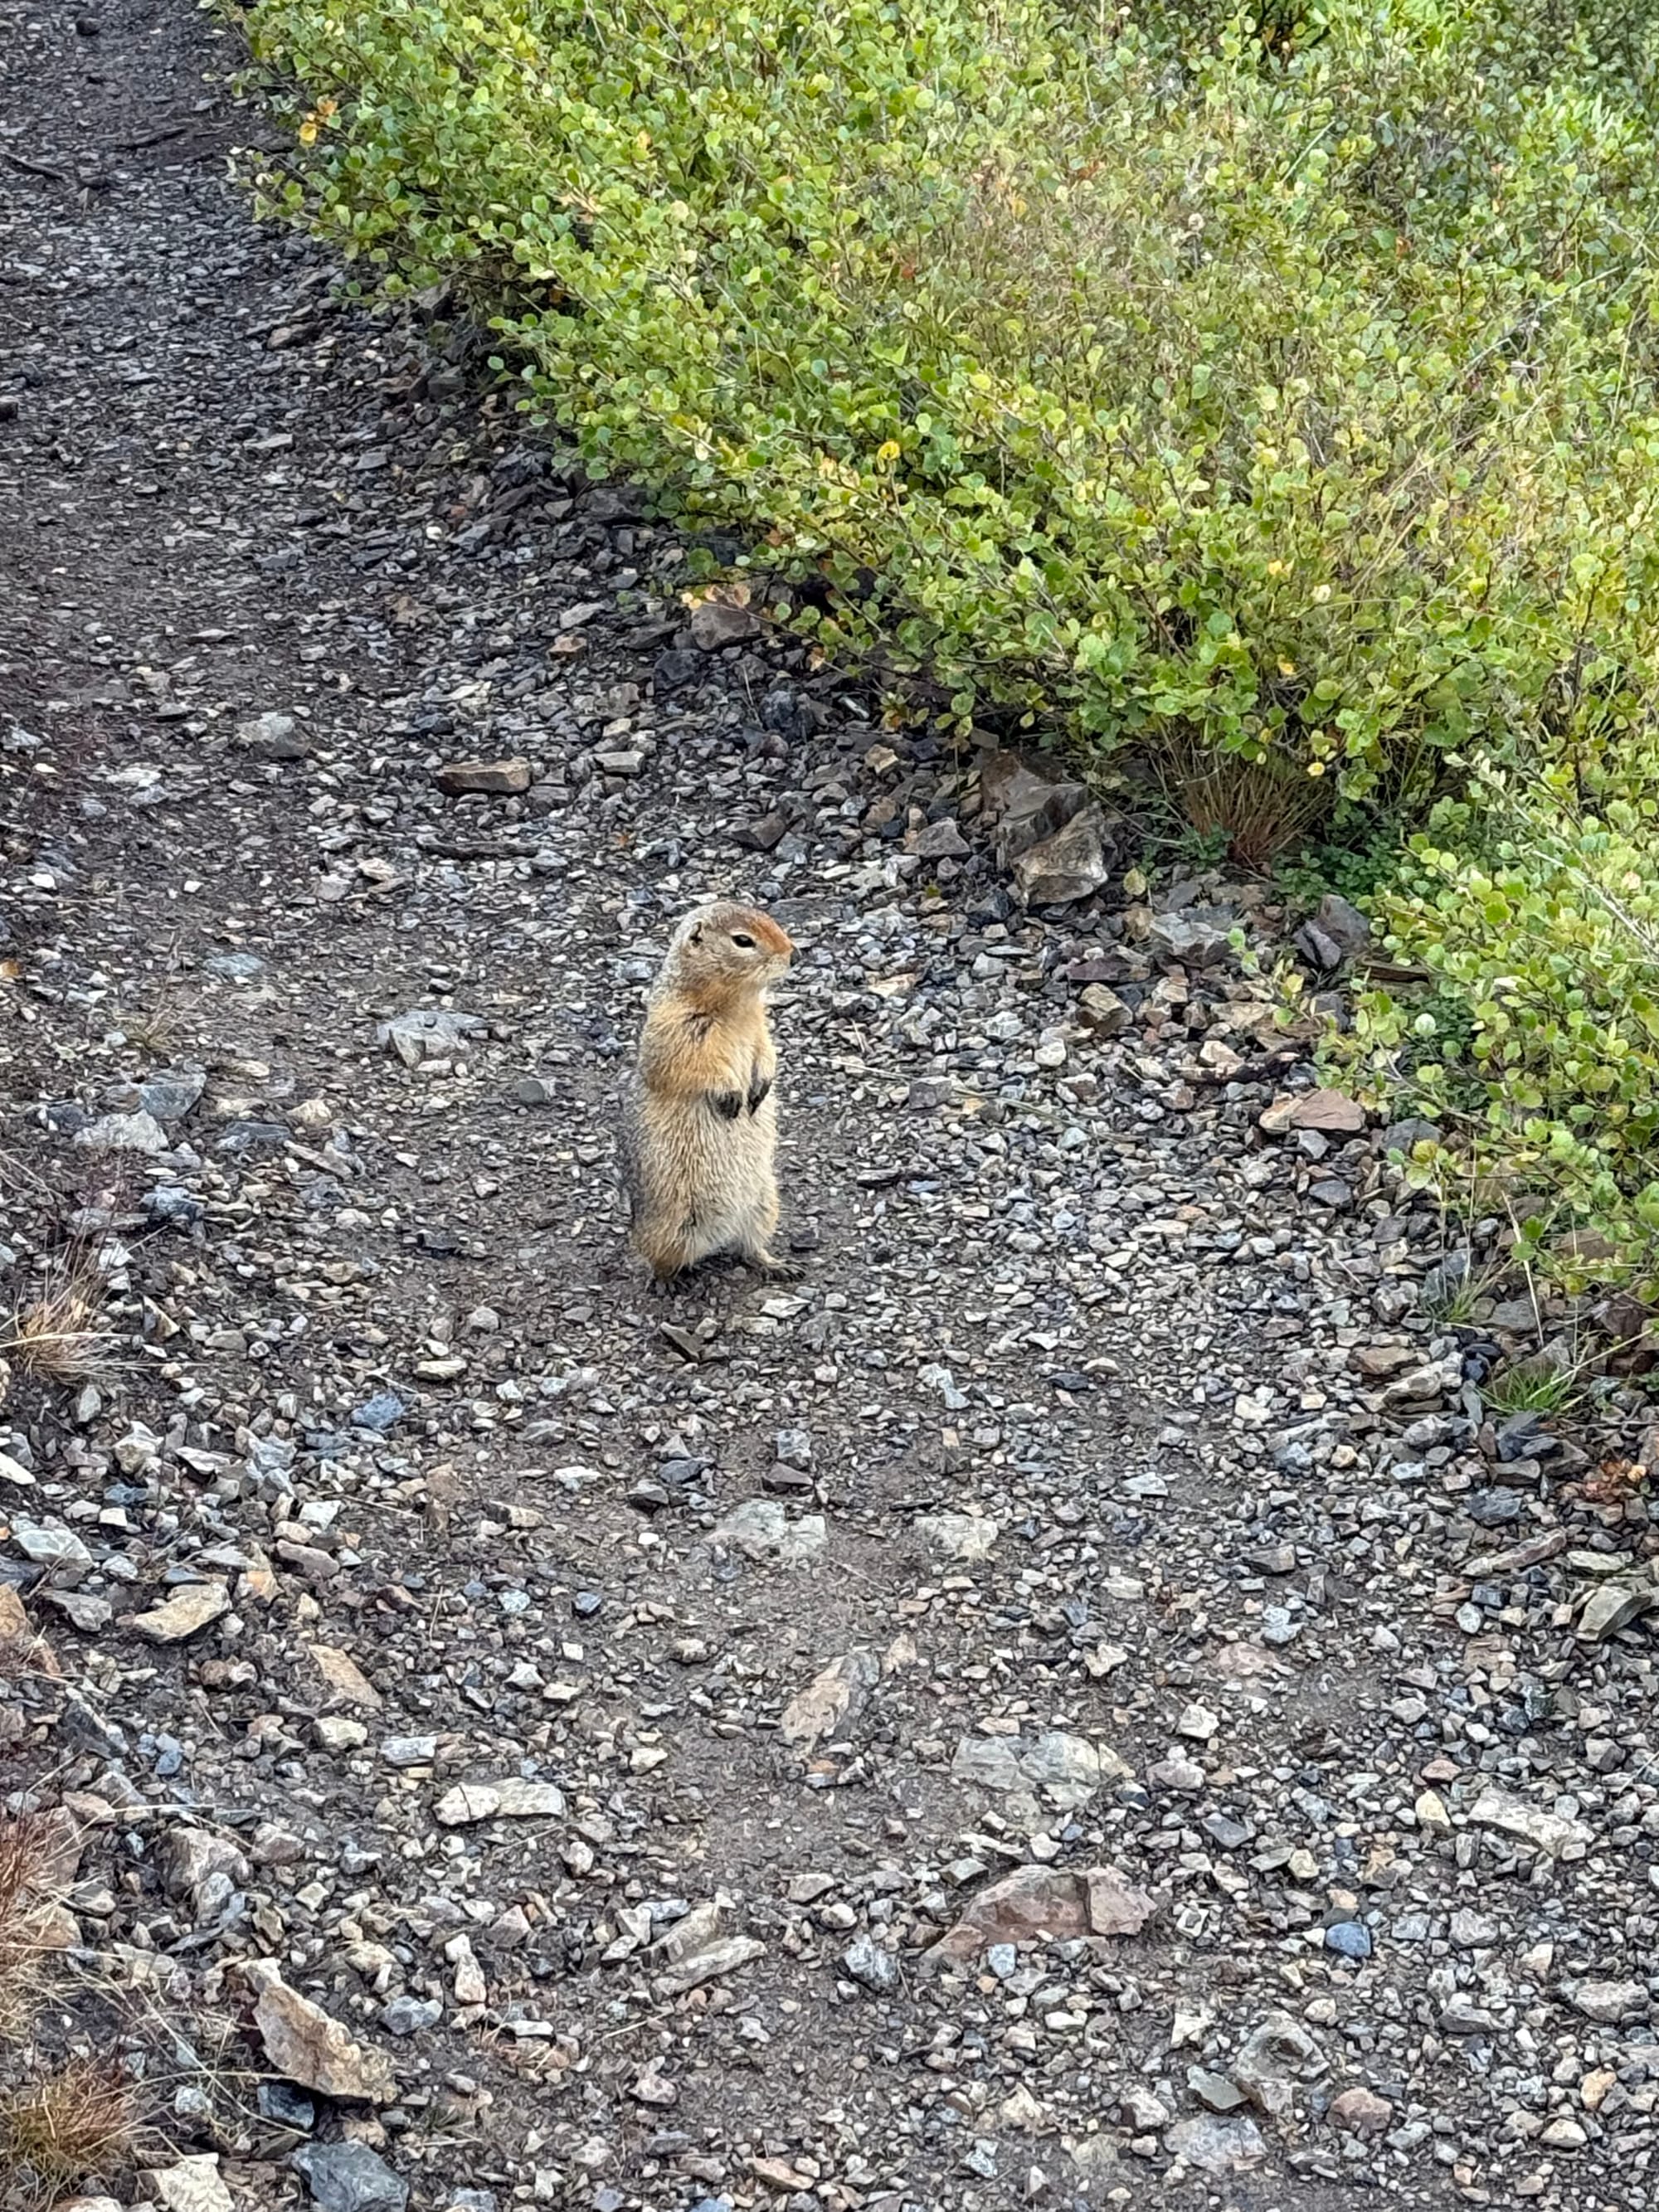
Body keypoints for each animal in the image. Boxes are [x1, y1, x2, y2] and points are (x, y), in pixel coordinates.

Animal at [619, 899, 795, 1282]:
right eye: (743, 940)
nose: (793, 953)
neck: (738, 1005)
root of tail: (717, 1237)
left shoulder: (761, 1027)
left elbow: (767, 1052)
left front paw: (759, 1089)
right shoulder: (679, 1028)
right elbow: (694, 1065)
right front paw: (730, 1097)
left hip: (765, 1204)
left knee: (748, 1247)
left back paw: (777, 1265)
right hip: (671, 1224)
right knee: (659, 1260)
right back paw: (670, 1282)